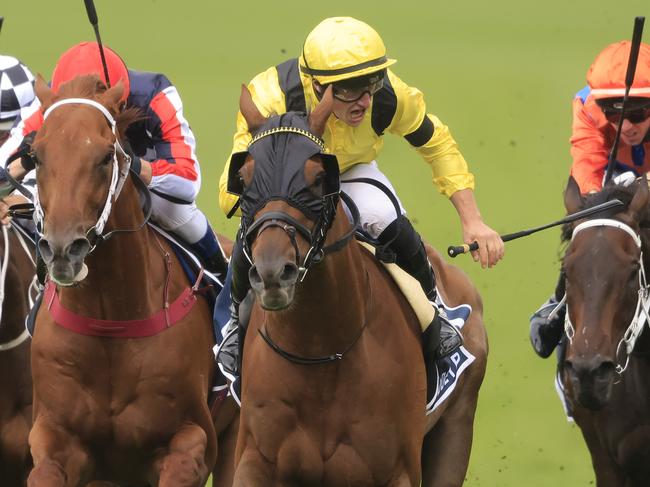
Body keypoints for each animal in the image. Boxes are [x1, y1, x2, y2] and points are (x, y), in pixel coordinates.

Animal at [26, 74, 233, 486]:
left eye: (107, 156)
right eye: (37, 155)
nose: (62, 249)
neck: (110, 320)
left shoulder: (192, 443)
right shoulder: (55, 438)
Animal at [228, 86, 486, 486]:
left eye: (319, 176)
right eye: (243, 177)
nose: (273, 273)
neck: (321, 353)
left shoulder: (396, 470)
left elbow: (429, 135)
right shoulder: (255, 461)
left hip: (456, 428)